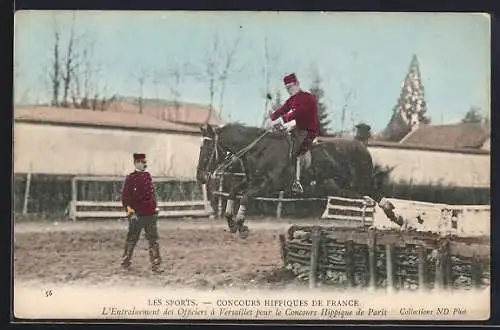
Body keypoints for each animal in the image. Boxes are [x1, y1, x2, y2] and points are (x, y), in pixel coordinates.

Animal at [196, 123, 402, 237]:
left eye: (208, 148)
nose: (200, 176)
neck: (260, 149)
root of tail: (361, 146)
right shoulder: (251, 181)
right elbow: (233, 192)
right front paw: (231, 222)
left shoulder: (268, 185)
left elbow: (245, 197)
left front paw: (241, 226)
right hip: (344, 185)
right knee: (369, 196)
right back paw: (393, 216)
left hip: (359, 182)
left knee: (375, 194)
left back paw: (396, 217)